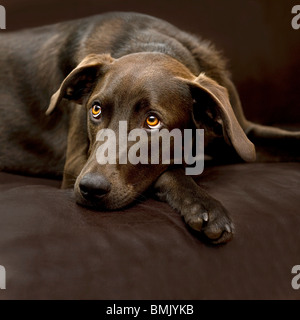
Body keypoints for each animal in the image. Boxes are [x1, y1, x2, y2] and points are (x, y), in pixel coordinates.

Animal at [0, 11, 298, 244]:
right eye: (95, 110)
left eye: (152, 121)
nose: (91, 188)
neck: (150, 42)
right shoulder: (75, 167)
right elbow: (168, 170)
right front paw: (205, 206)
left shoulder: (242, 134)